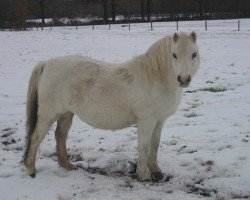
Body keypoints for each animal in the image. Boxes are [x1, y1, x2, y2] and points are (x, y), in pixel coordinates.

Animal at [22, 31, 200, 181]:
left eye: (194, 54)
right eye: (174, 55)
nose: (184, 79)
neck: (155, 78)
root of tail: (47, 64)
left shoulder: (160, 120)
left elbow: (154, 144)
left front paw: (156, 170)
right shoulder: (146, 121)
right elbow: (144, 146)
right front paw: (143, 175)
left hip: (66, 113)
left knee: (60, 135)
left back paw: (67, 165)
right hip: (49, 114)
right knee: (36, 137)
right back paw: (30, 169)